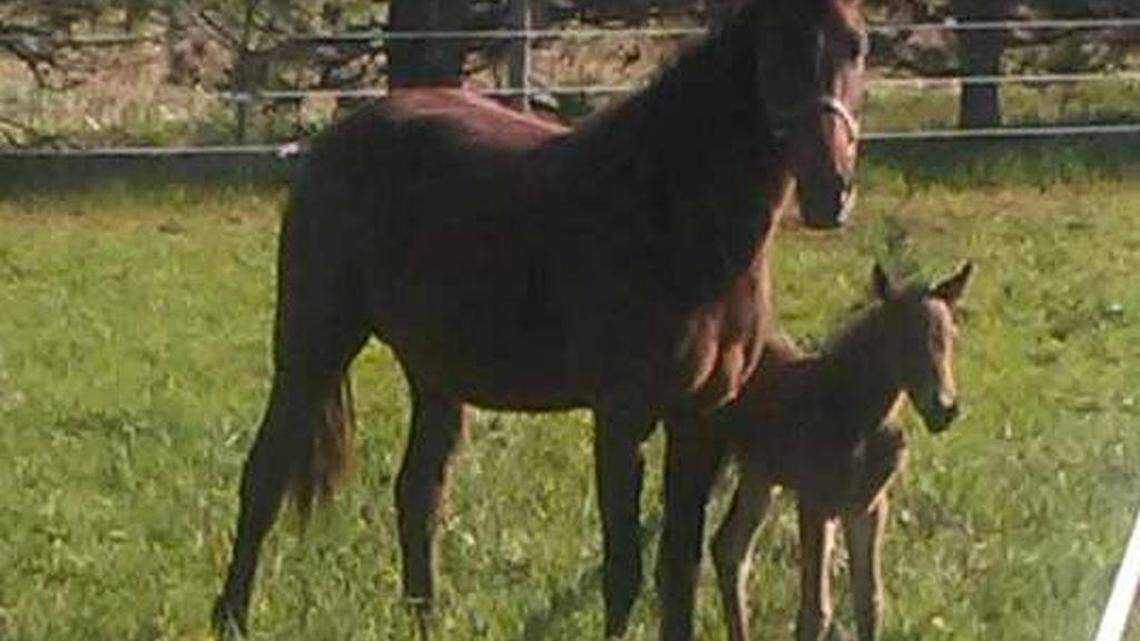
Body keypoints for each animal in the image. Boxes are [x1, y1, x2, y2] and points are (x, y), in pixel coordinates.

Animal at [211, 1, 868, 639]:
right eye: (778, 43)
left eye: (857, 46)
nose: (830, 192)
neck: (668, 213)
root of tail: (334, 142)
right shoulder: (622, 417)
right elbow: (624, 569)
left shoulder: (701, 420)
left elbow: (679, 570)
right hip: (314, 344)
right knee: (265, 474)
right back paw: (231, 617)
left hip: (437, 374)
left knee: (418, 493)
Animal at [709, 262, 974, 641]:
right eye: (902, 339)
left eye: (950, 336)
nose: (944, 409)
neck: (856, 414)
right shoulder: (816, 503)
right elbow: (816, 612)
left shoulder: (868, 507)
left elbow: (870, 602)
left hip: (759, 474)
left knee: (729, 549)